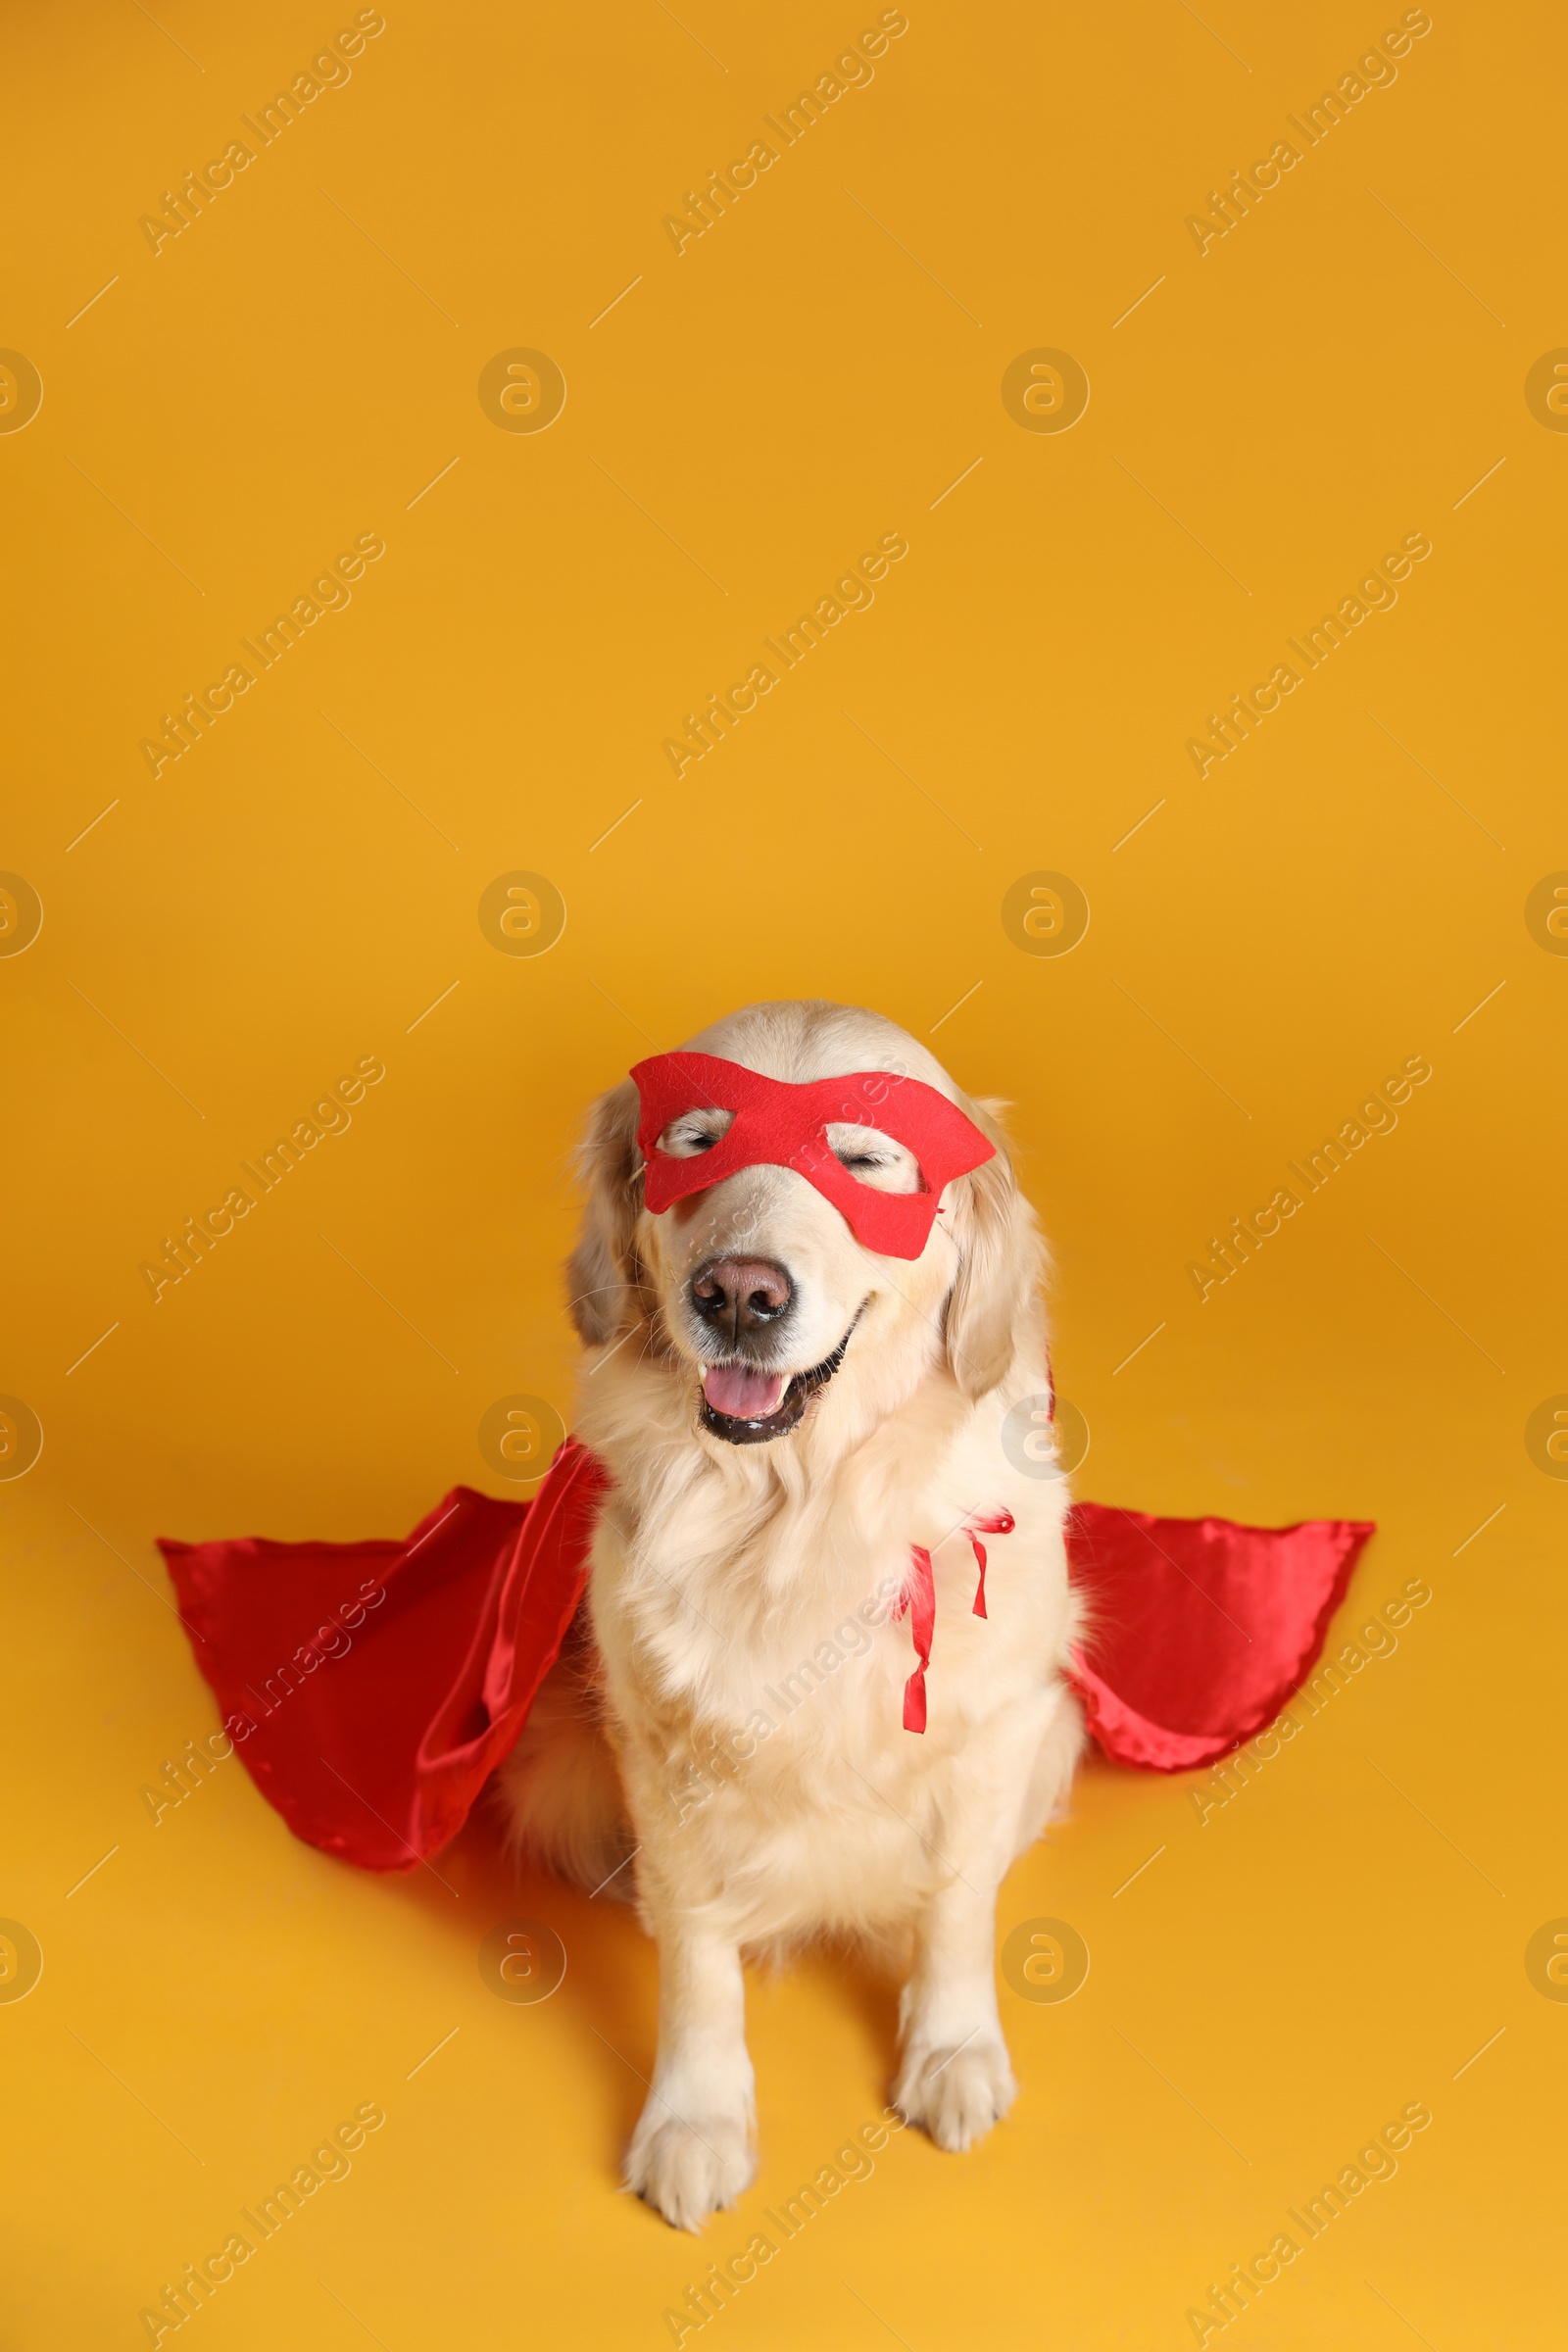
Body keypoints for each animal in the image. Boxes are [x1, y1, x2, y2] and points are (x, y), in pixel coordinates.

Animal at [496, 992, 1086, 2220]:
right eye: (696, 1142)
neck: (795, 1511)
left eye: (862, 1162)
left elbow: (956, 1904)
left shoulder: (992, 1730)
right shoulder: (661, 1757)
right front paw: (695, 2119)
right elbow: (695, 1957)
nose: (738, 1293)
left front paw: (951, 2050)